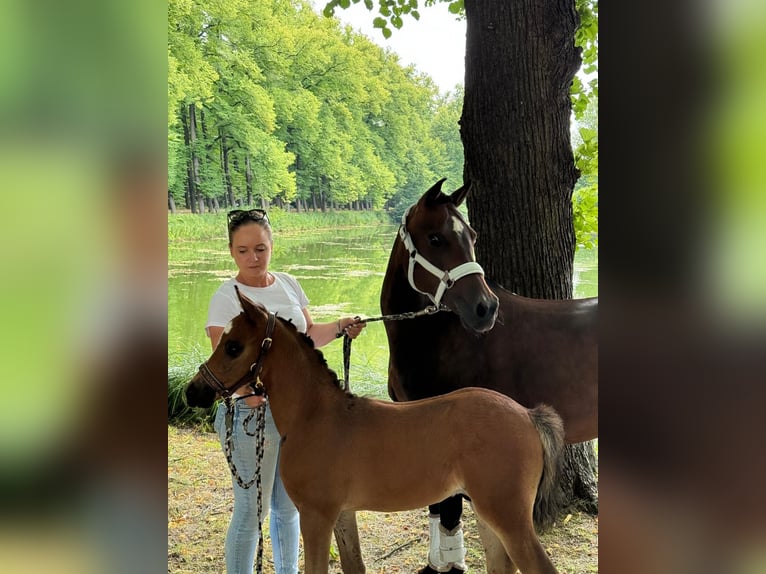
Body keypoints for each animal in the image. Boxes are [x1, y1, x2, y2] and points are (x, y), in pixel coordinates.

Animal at [188, 290, 564, 574]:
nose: (194, 392)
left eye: (233, 346)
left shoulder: (316, 514)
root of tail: (529, 415)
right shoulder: (342, 513)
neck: (314, 416)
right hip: (488, 514)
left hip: (509, 517)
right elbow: (354, 565)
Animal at [384, 181, 600, 574]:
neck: (439, 337)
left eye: (471, 236)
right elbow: (437, 510)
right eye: (435, 238)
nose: (485, 308)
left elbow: (448, 513)